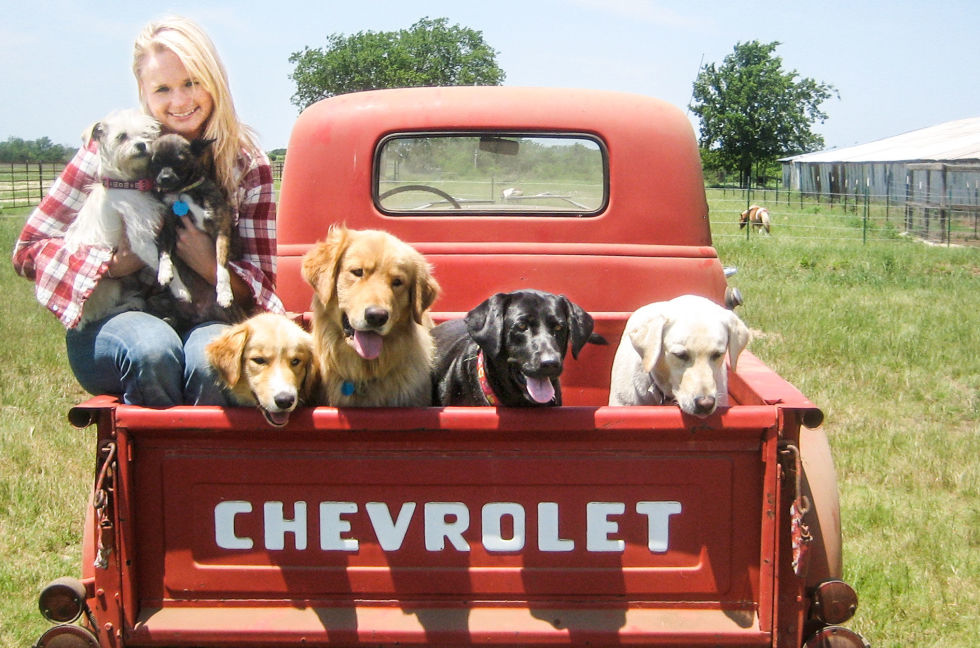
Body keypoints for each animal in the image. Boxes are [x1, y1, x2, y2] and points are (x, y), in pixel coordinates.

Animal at [147, 132, 243, 326]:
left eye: (179, 162)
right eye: (155, 163)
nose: (164, 178)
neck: (183, 192)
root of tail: (199, 316)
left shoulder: (221, 233)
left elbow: (221, 264)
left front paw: (224, 292)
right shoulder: (167, 229)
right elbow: (163, 252)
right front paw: (164, 272)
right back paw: (171, 317)